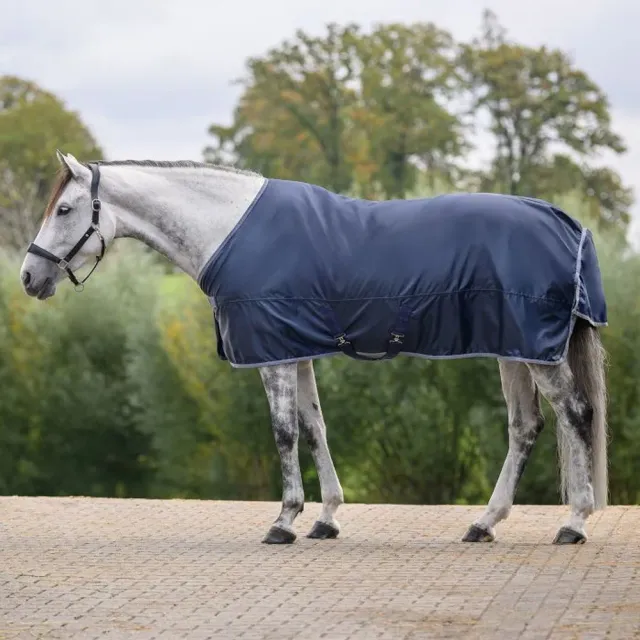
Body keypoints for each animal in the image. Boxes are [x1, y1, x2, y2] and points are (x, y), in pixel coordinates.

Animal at [20, 151, 608, 545]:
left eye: (66, 209)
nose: (28, 276)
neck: (228, 228)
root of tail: (569, 223)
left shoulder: (274, 354)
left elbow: (283, 432)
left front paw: (284, 520)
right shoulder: (294, 348)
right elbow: (314, 426)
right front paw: (325, 518)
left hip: (535, 350)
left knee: (576, 413)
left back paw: (573, 523)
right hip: (515, 349)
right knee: (526, 427)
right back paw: (484, 523)